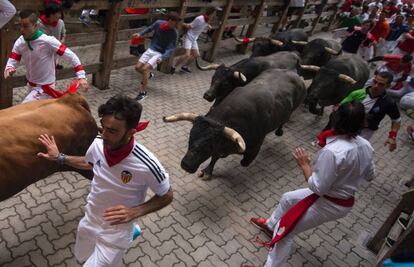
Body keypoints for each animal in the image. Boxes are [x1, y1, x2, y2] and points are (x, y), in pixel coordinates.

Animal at [163, 68, 306, 180]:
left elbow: (244, 161)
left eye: (209, 145)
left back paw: (279, 131)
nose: (186, 164)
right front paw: (207, 172)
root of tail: (294, 74)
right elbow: (215, 157)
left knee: (284, 121)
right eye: (190, 138)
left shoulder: (254, 147)